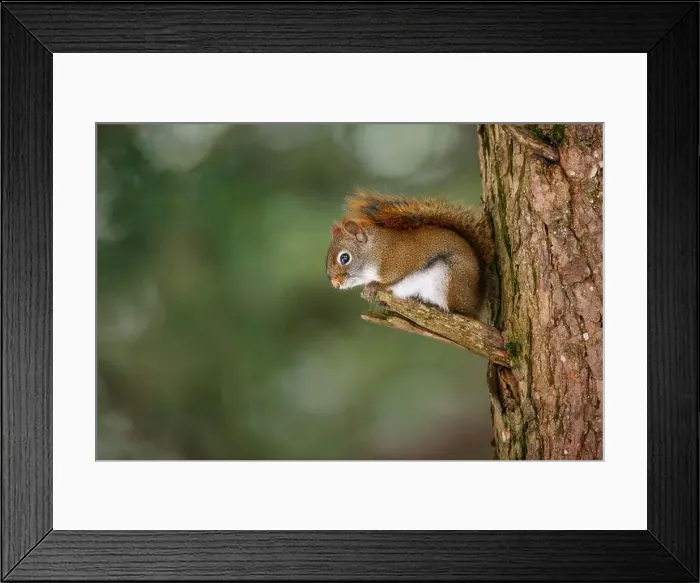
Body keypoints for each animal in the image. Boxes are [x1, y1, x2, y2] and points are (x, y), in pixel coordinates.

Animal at [326, 189, 495, 319]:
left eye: (344, 258)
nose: (335, 284)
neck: (376, 250)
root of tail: (476, 302)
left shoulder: (397, 262)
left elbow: (391, 281)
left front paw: (373, 286)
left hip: (452, 280)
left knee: (458, 311)